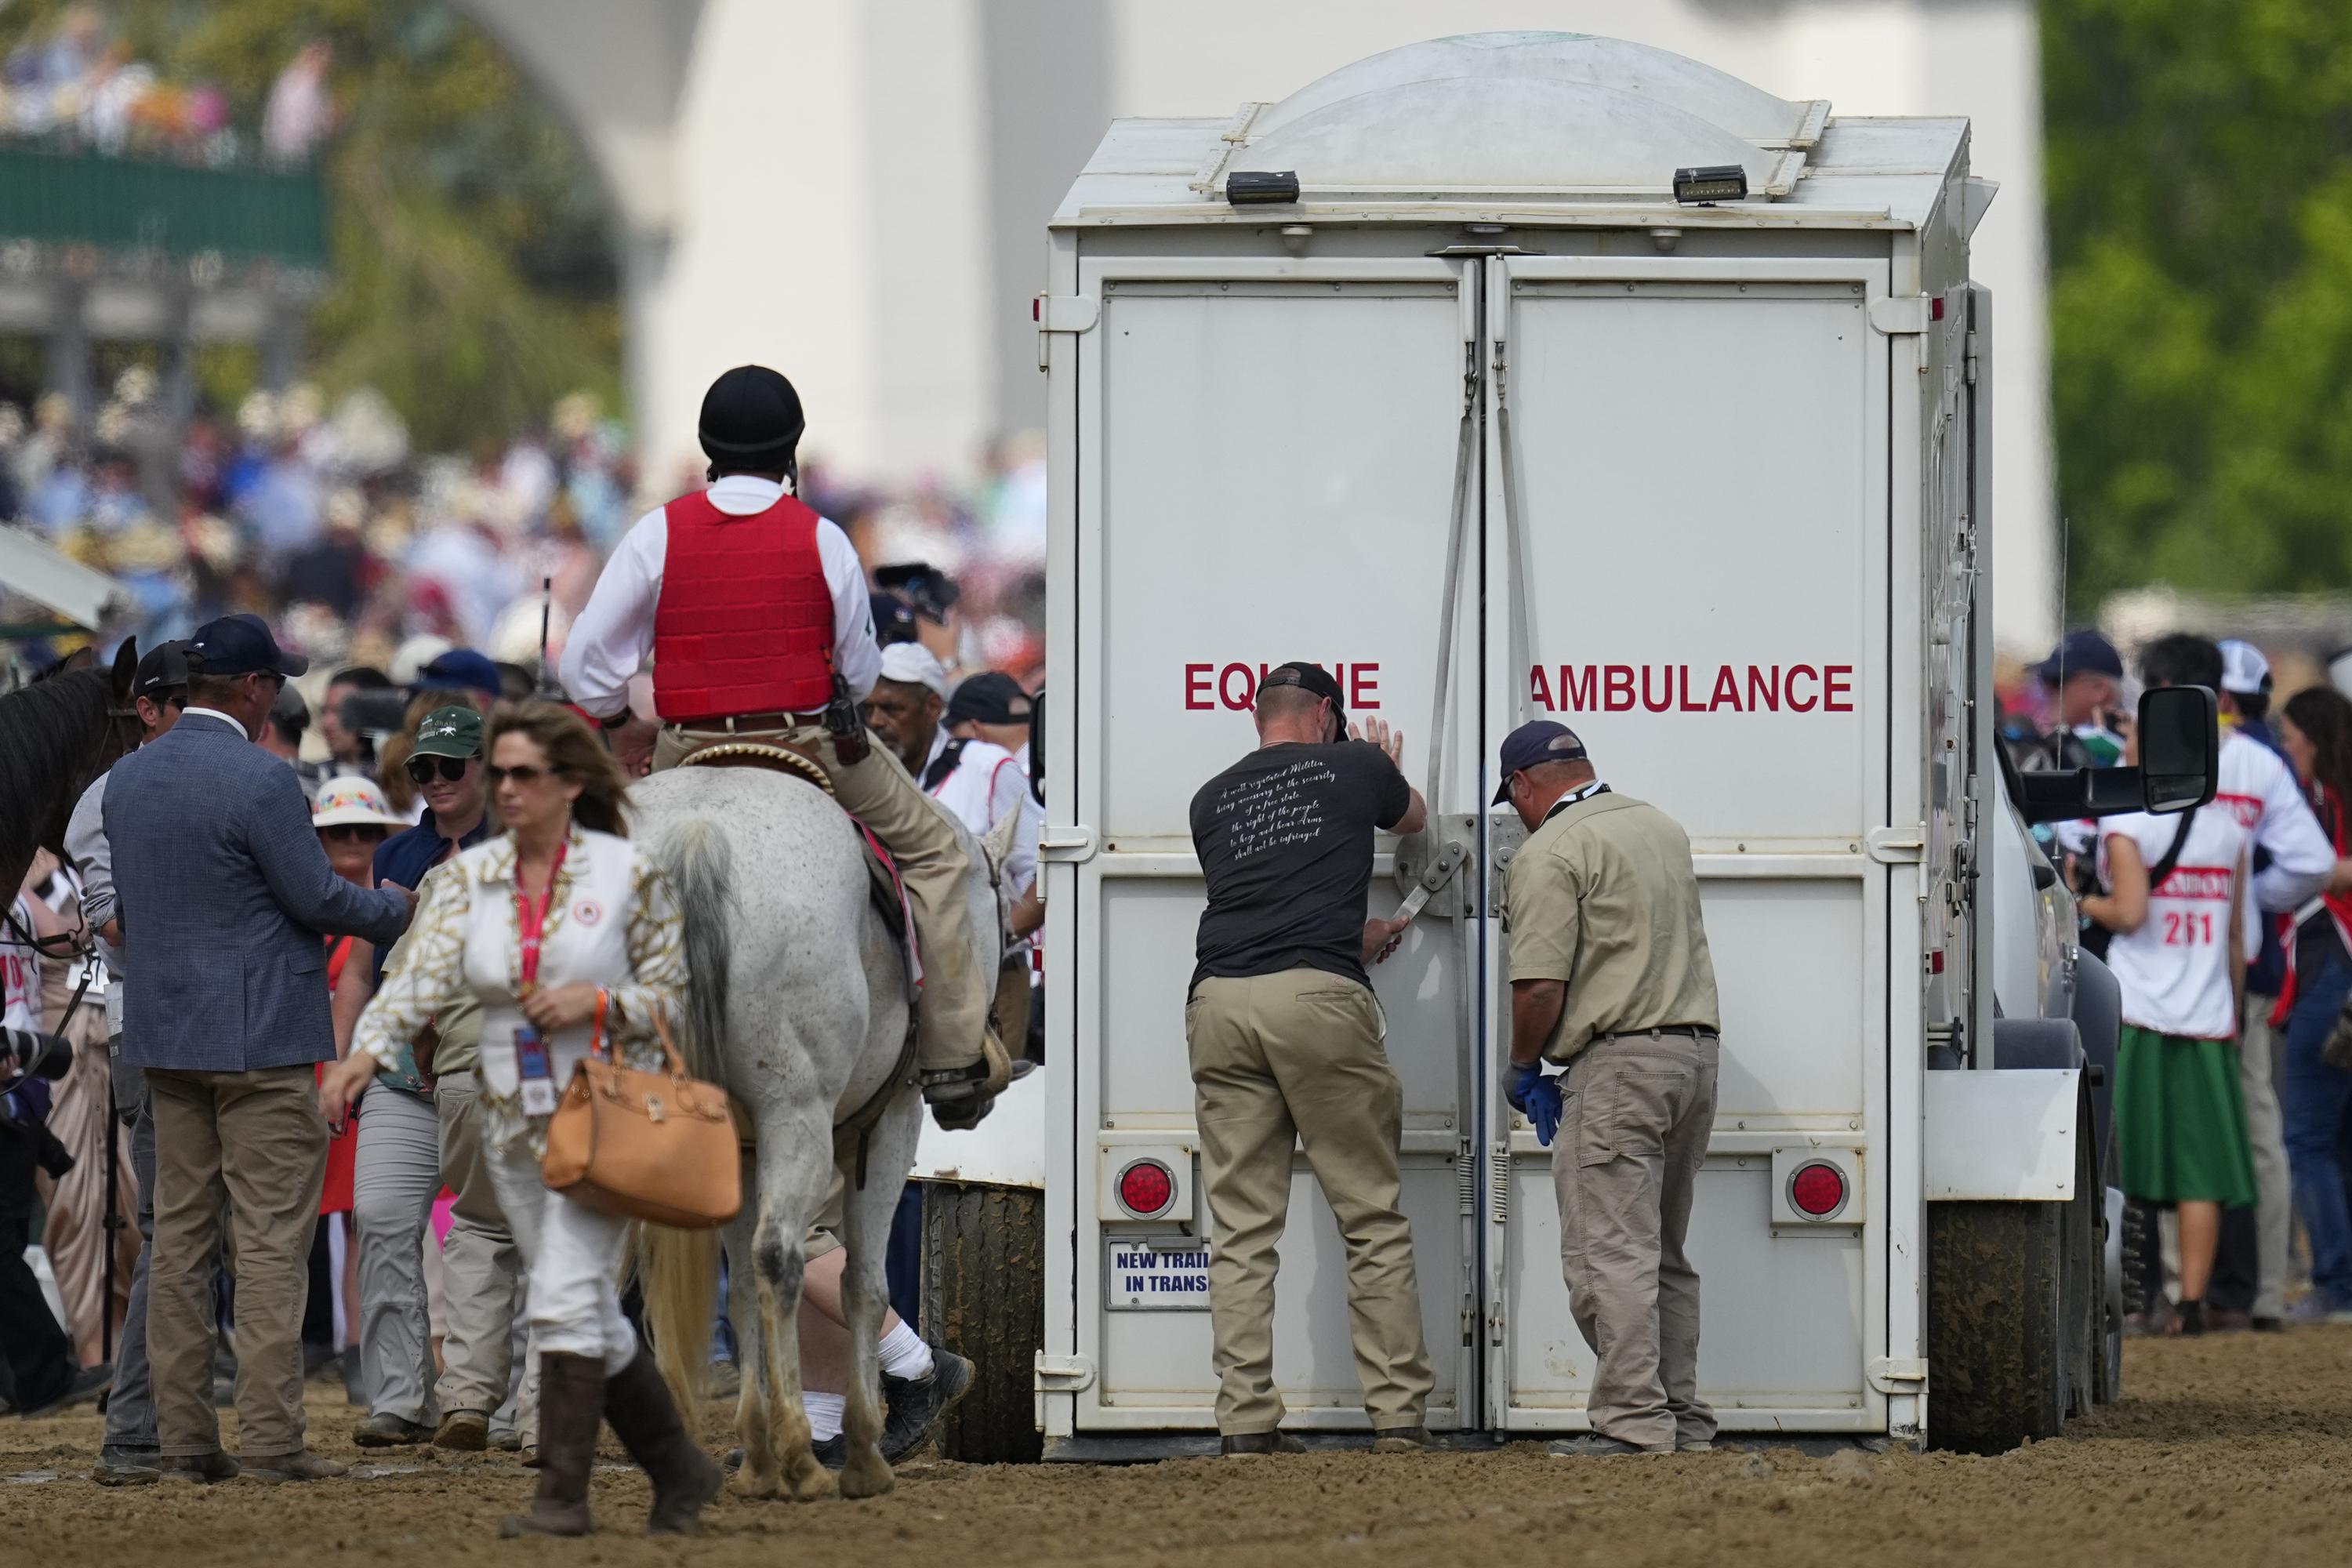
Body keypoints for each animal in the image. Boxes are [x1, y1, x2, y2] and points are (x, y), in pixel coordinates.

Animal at [630, 766, 1007, 1504]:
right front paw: (861, 1453)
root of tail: (697, 833)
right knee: (781, 1255)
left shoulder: (745, 1150)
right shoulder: (888, 1123)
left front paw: (756, 1453)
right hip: (799, 1115)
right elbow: (864, 1280)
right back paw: (806, 1458)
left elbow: (744, 1289)